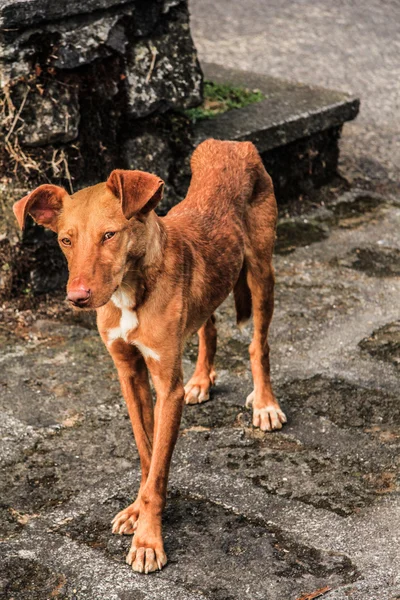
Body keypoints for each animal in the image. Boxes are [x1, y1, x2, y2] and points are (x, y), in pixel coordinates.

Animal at [13, 139, 288, 572]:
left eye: (109, 235)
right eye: (65, 240)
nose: (76, 298)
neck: (130, 291)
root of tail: (230, 143)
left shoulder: (166, 387)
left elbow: (158, 467)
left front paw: (147, 540)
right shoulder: (129, 373)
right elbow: (147, 454)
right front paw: (136, 511)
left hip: (262, 270)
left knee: (258, 344)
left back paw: (265, 404)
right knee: (208, 324)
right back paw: (201, 379)